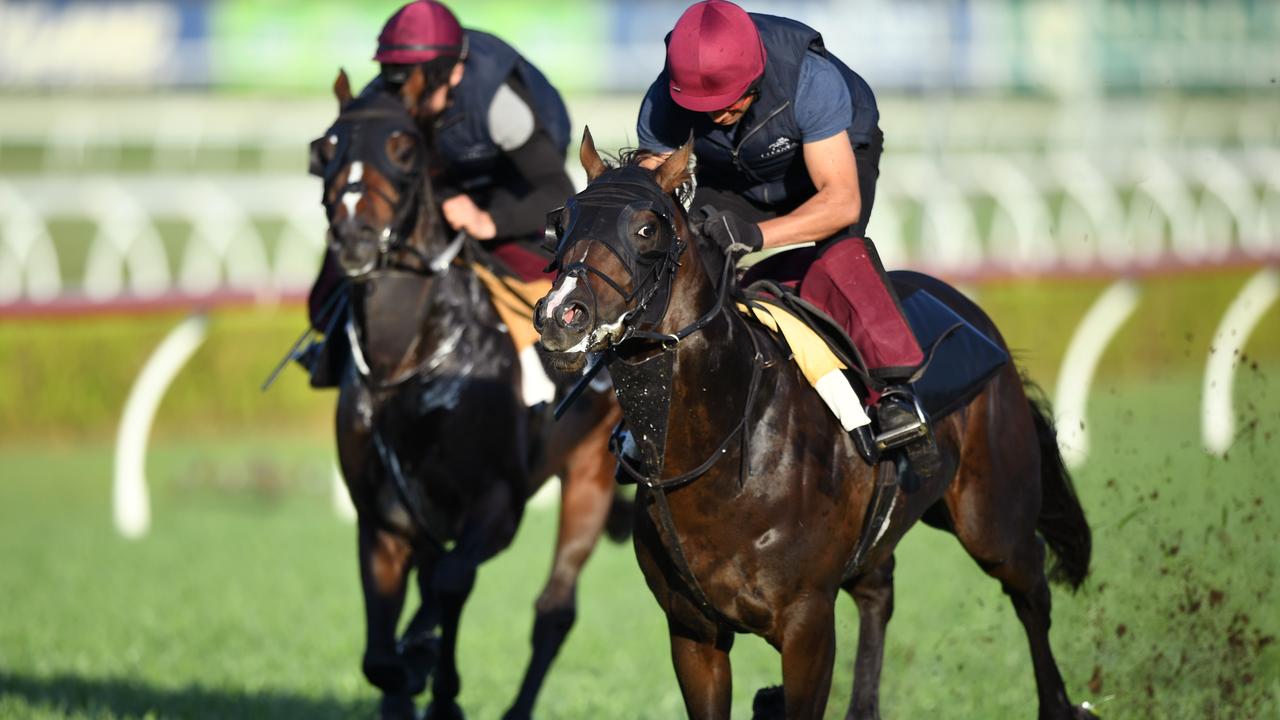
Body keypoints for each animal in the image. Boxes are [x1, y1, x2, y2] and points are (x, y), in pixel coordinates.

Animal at [312, 71, 627, 717]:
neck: (407, 362)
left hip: (589, 474)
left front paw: (437, 679)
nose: (354, 237)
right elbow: (381, 652)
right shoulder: (382, 517)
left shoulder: (499, 501)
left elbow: (450, 585)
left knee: (553, 609)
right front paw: (411, 673)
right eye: (326, 149)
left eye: (404, 148)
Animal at [535, 130, 1095, 717]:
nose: (559, 315)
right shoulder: (692, 632)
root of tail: (972, 314)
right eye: (561, 222)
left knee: (1029, 584)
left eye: (647, 228)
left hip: (991, 515)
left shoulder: (807, 623)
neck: (722, 448)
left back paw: (1060, 702)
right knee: (879, 590)